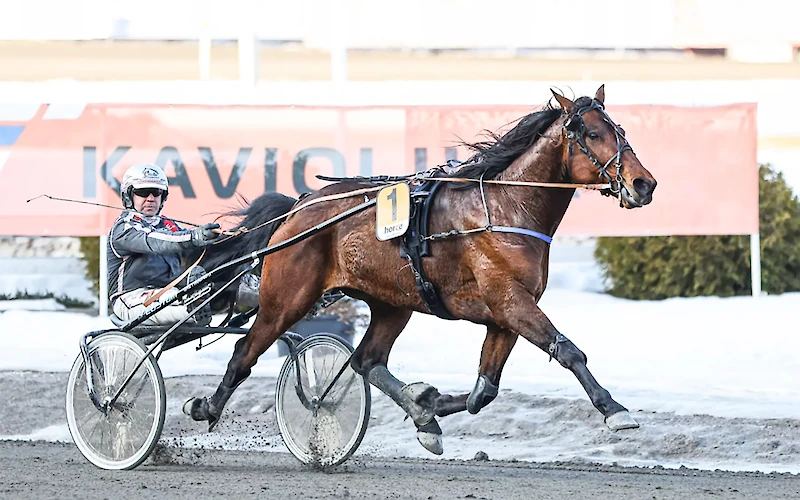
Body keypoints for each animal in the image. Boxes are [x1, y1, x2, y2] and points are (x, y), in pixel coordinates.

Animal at [184, 86, 660, 454]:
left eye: (621, 132)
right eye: (594, 133)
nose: (644, 184)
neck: (505, 206)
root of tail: (299, 206)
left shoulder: (505, 314)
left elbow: (484, 392)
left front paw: (428, 404)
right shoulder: (510, 301)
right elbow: (568, 351)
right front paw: (615, 410)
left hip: (393, 302)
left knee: (366, 360)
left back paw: (420, 413)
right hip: (287, 298)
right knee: (245, 352)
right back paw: (205, 406)